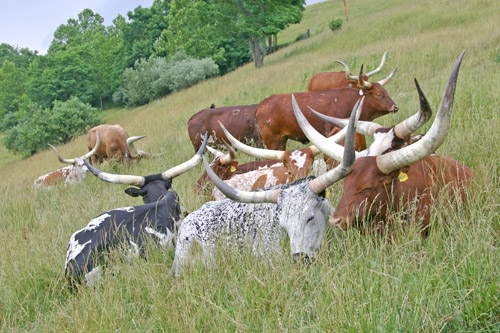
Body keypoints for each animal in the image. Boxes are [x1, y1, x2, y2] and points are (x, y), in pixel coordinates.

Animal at [254, 63, 398, 149]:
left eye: (385, 91)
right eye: (379, 94)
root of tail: (261, 105)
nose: (395, 107)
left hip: (282, 141)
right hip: (273, 141)